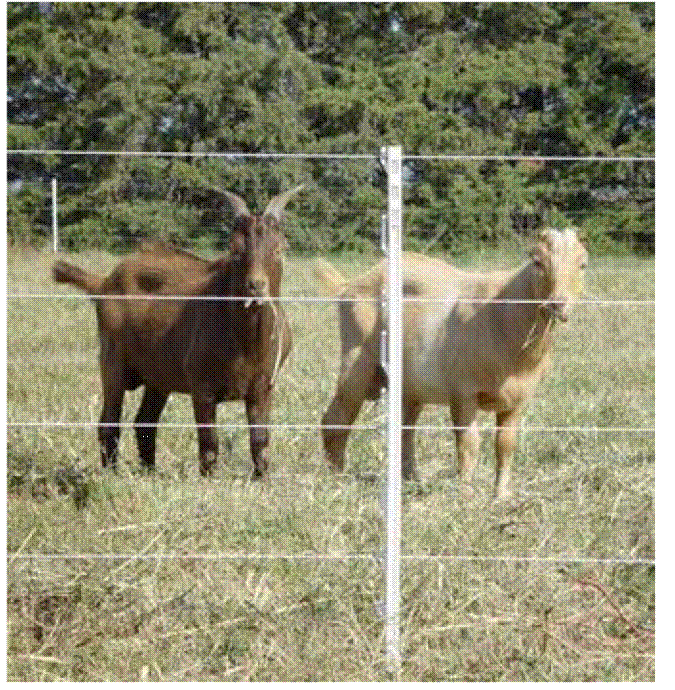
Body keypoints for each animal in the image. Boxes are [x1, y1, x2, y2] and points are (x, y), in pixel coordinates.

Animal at [54, 185, 302, 476]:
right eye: (235, 250)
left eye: (280, 248)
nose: (256, 286)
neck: (246, 342)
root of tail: (105, 282)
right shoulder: (202, 388)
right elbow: (209, 444)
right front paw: (208, 480)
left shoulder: (263, 388)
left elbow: (260, 442)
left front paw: (261, 479)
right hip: (112, 360)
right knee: (109, 422)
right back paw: (111, 475)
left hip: (158, 375)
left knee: (145, 421)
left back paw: (149, 472)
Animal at [316, 228, 588, 498]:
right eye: (537, 262)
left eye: (583, 264)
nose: (558, 303)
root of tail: (352, 283)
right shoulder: (463, 391)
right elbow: (469, 445)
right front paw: (465, 495)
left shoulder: (520, 397)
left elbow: (505, 445)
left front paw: (501, 496)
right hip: (356, 361)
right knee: (336, 418)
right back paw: (337, 480)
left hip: (410, 385)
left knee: (405, 428)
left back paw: (412, 480)